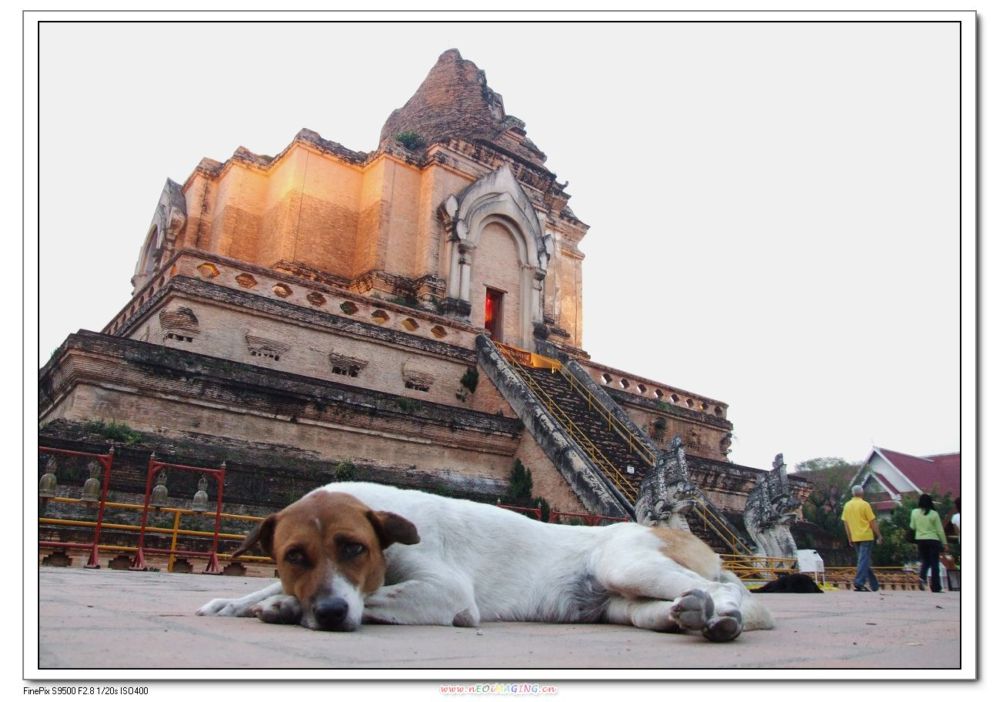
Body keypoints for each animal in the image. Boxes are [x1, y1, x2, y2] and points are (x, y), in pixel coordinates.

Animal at [195, 484, 772, 644]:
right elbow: (266, 589)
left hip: (627, 563)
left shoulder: (447, 593)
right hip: (621, 605)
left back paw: (723, 616)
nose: (333, 613)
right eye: (294, 556)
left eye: (354, 548)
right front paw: (238, 602)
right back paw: (691, 613)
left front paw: (287, 608)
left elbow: (375, 596)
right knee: (670, 605)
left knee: (736, 594)